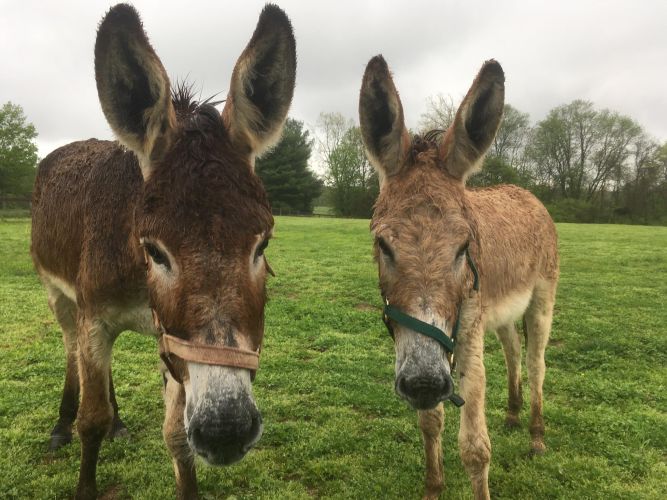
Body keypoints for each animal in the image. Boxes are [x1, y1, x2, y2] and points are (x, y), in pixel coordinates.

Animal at [30, 4, 296, 498]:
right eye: (154, 250)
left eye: (262, 244)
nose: (225, 431)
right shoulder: (95, 317)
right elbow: (90, 422)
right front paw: (85, 470)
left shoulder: (170, 339)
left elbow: (176, 436)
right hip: (59, 295)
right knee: (71, 350)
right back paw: (61, 425)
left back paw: (119, 423)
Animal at [358, 56, 559, 499]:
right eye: (383, 244)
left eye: (464, 247)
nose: (424, 384)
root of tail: (524, 191)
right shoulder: (430, 346)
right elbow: (430, 421)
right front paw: (433, 487)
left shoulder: (465, 332)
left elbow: (475, 449)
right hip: (499, 314)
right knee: (513, 349)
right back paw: (513, 415)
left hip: (542, 298)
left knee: (536, 361)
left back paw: (536, 437)